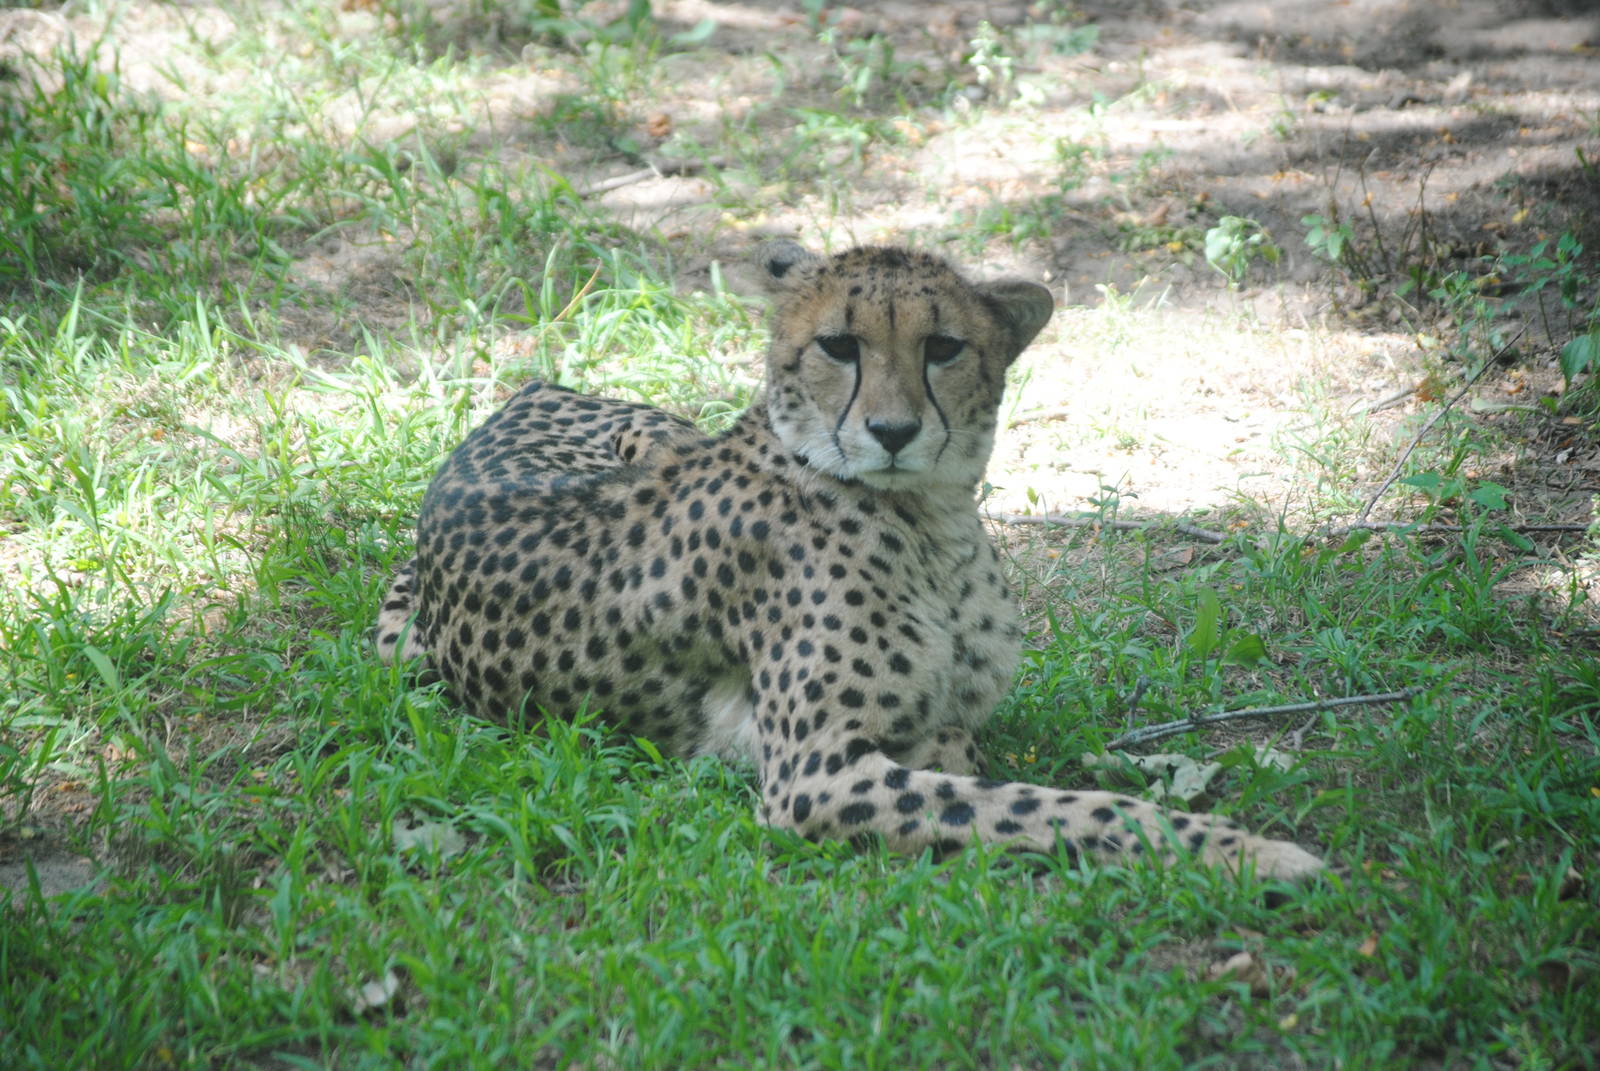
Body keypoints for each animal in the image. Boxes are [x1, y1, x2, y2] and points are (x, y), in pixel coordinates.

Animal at [375, 241, 1324, 881]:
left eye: (944, 347)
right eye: (839, 345)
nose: (893, 431)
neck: (931, 524)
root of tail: (527, 390)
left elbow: (987, 762)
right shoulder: (814, 773)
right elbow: (1055, 805)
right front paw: (1250, 851)